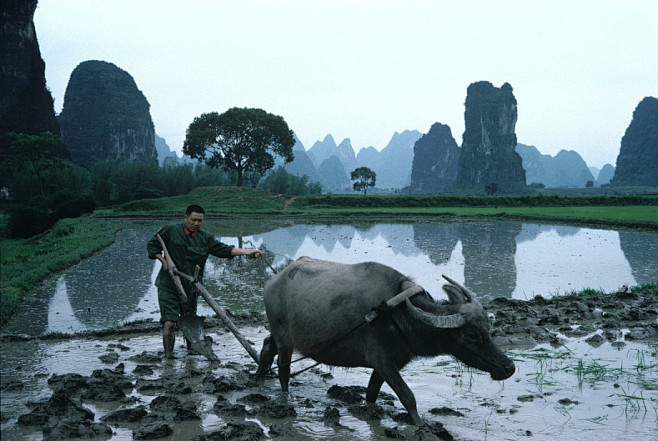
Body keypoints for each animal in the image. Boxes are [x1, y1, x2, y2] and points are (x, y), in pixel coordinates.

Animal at [256, 256, 512, 424]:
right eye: (472, 335)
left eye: (487, 328)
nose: (509, 367)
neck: (396, 313)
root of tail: (272, 281)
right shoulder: (383, 361)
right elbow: (408, 396)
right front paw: (420, 426)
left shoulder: (386, 364)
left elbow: (371, 393)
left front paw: (370, 413)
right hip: (285, 340)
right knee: (283, 370)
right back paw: (284, 397)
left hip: (279, 336)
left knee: (268, 345)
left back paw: (259, 376)